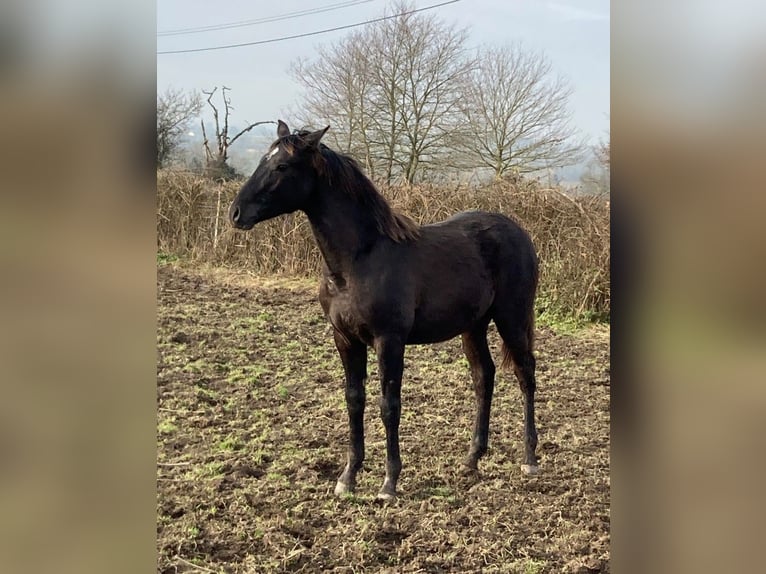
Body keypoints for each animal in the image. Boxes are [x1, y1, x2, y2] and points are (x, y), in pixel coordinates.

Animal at [228, 120, 540, 500]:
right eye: (263, 158)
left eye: (282, 166)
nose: (236, 213)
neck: (357, 261)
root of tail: (519, 232)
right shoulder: (345, 339)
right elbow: (354, 400)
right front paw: (348, 477)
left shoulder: (388, 340)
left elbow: (389, 406)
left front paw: (389, 483)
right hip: (474, 325)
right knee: (484, 376)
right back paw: (472, 458)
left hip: (512, 317)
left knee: (525, 374)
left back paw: (530, 459)